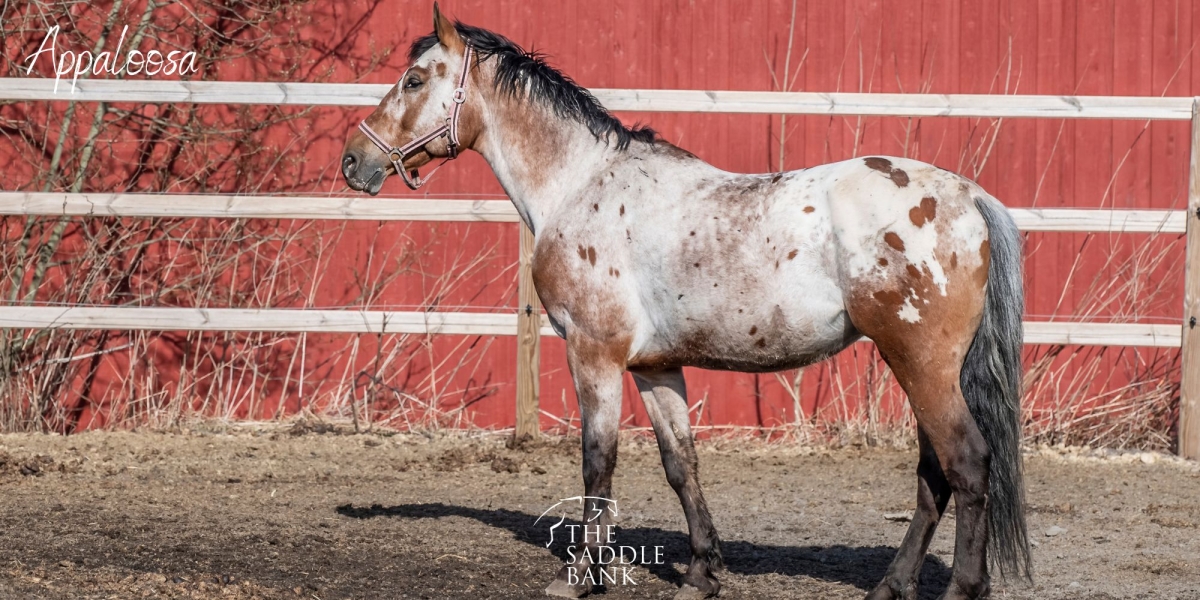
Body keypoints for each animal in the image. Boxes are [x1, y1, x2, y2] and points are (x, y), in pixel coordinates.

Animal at [340, 5, 1032, 600]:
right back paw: (891, 585)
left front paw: (580, 575)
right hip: (924, 369)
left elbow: (598, 462)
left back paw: (962, 588)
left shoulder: (594, 355)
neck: (580, 184)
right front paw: (702, 572)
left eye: (413, 78)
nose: (354, 161)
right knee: (934, 476)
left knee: (966, 464)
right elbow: (681, 465)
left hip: (922, 365)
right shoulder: (654, 367)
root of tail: (970, 197)